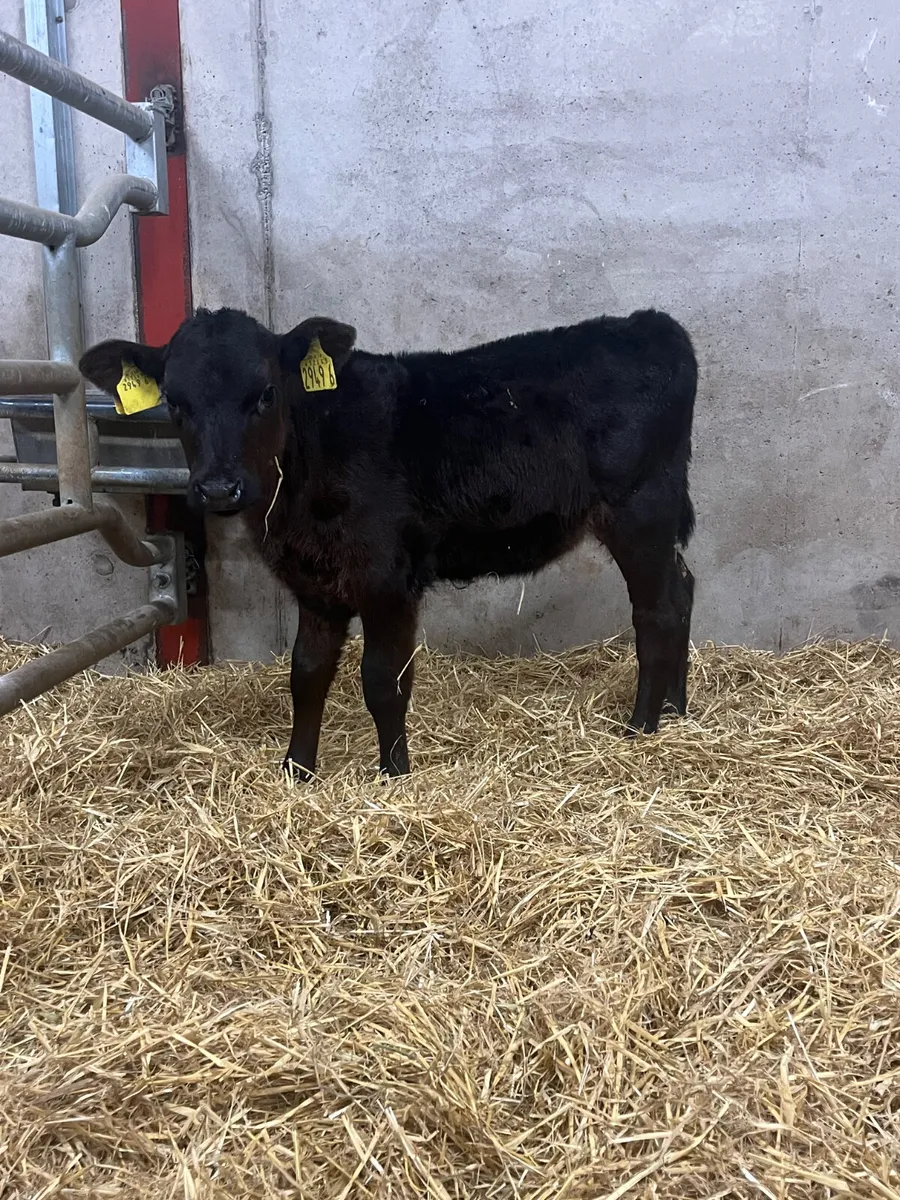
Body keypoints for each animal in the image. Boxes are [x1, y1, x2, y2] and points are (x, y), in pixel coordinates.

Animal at [80, 306, 697, 780]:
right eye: (174, 402)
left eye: (266, 393)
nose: (217, 487)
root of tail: (652, 323)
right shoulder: (314, 583)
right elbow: (306, 674)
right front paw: (296, 770)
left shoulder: (387, 578)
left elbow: (382, 680)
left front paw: (393, 774)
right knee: (684, 588)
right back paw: (677, 711)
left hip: (641, 509)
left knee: (658, 610)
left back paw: (641, 727)